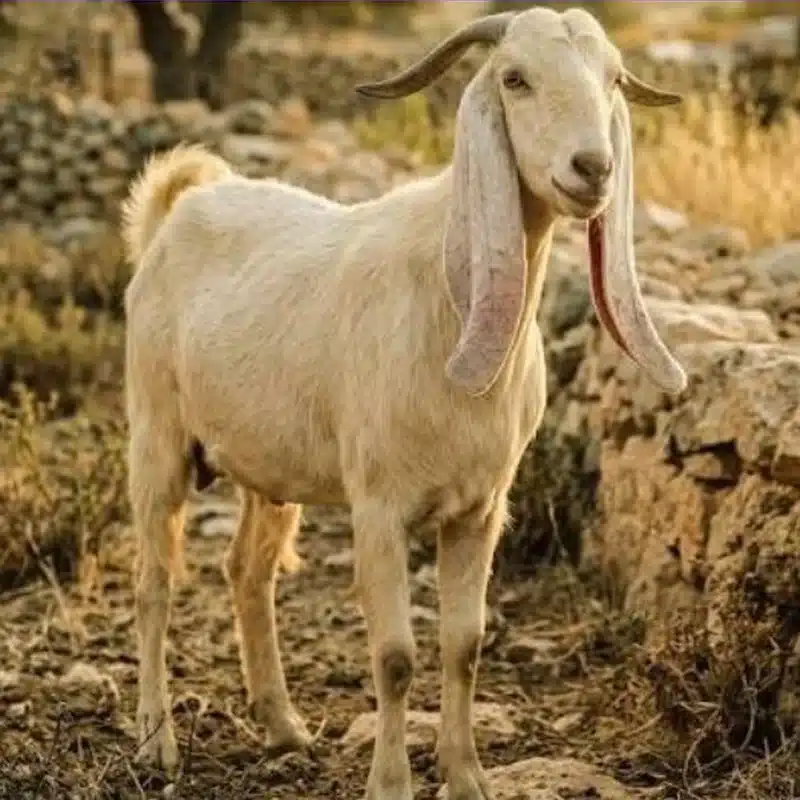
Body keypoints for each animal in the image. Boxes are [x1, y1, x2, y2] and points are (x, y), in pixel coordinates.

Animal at [121, 7, 686, 799]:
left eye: (612, 79)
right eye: (514, 79)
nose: (592, 169)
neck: (448, 301)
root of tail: (180, 208)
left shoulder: (481, 508)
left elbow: (464, 645)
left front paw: (468, 776)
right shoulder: (379, 508)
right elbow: (394, 656)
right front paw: (391, 782)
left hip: (270, 465)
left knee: (247, 573)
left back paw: (282, 724)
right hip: (157, 438)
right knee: (153, 585)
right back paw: (157, 742)